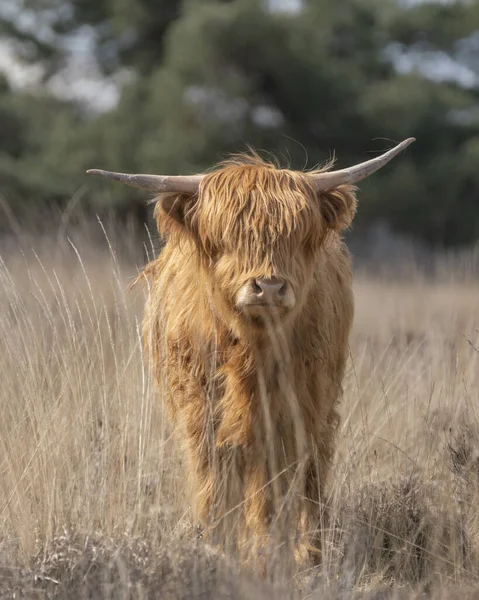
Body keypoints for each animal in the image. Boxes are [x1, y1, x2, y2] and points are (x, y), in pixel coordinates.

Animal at [89, 138, 416, 576]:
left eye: (296, 235)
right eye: (229, 236)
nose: (269, 287)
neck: (251, 352)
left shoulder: (292, 411)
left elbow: (273, 489)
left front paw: (270, 554)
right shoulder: (202, 413)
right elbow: (215, 486)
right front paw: (219, 551)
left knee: (312, 476)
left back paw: (311, 553)